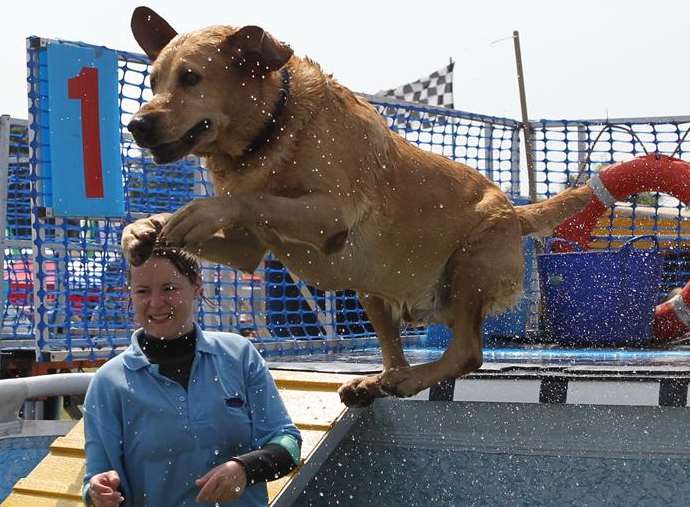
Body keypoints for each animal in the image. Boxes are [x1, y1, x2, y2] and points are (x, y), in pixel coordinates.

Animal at [121, 4, 588, 408]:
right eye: (153, 82)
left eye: (190, 77)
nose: (136, 125)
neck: (271, 130)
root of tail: (515, 210)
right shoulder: (247, 251)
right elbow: (226, 218)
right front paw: (143, 230)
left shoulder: (329, 215)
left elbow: (249, 199)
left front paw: (197, 211)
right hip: (373, 291)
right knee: (399, 354)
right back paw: (376, 383)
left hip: (470, 266)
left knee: (468, 353)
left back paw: (409, 379)